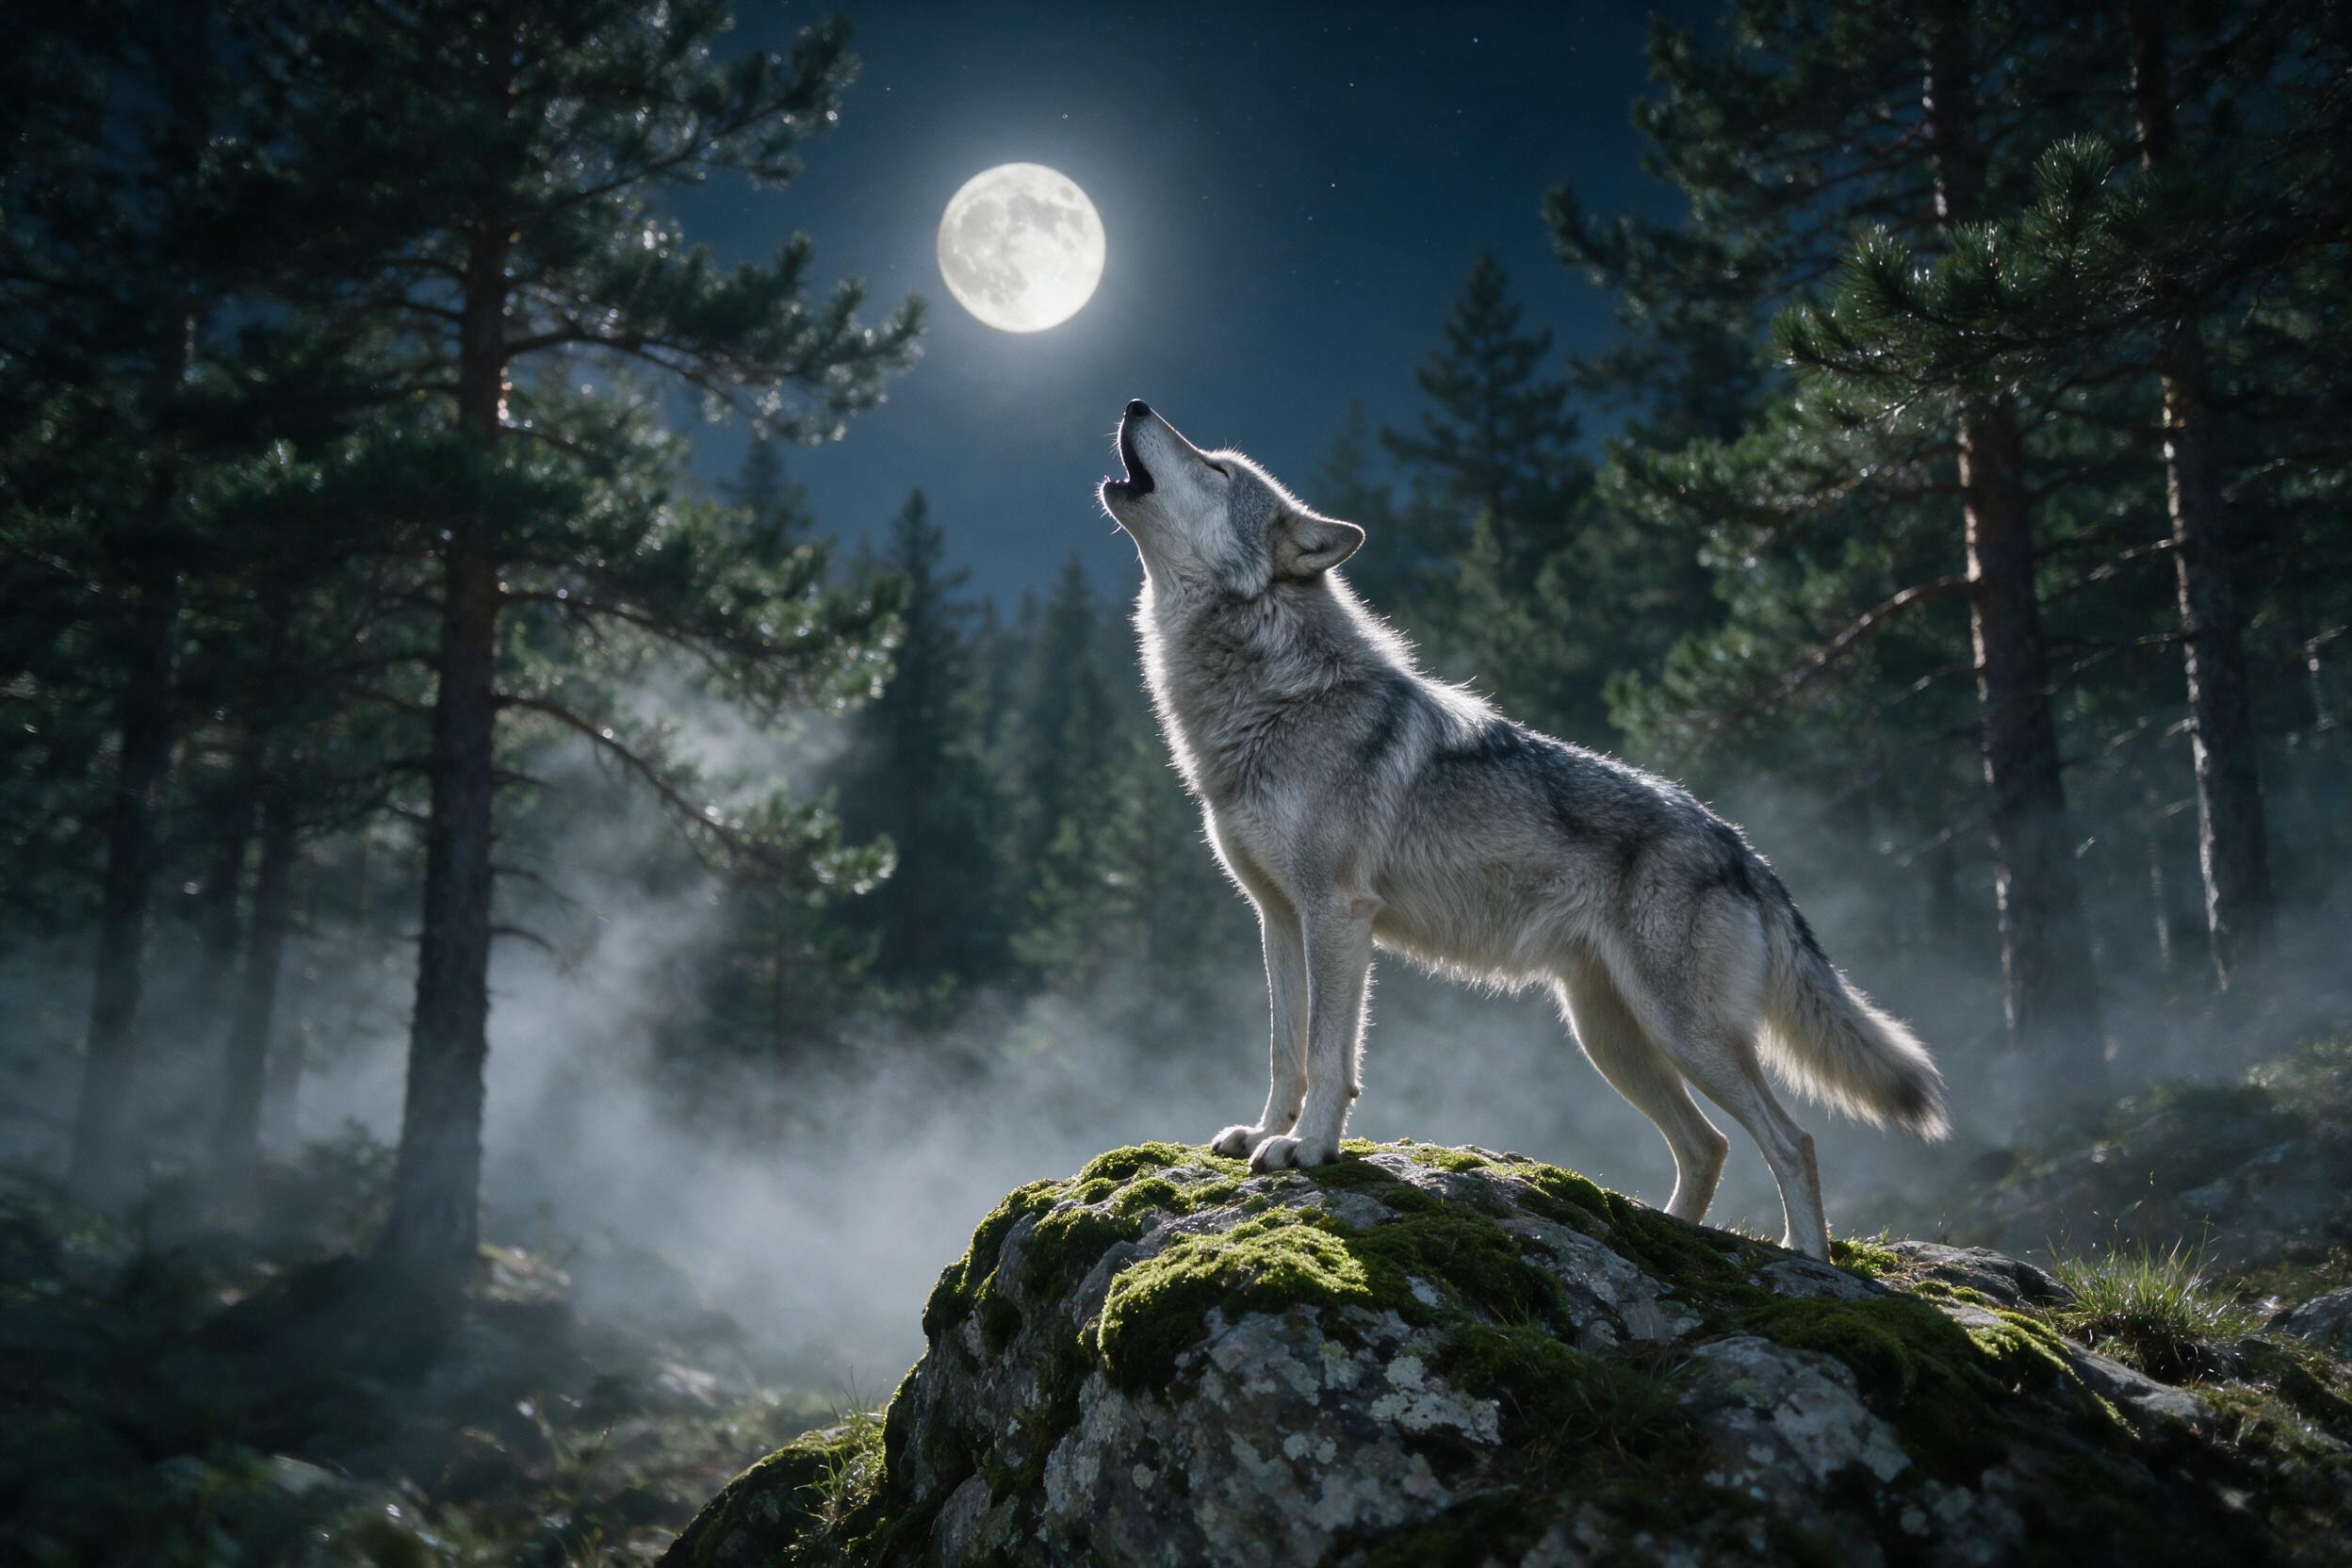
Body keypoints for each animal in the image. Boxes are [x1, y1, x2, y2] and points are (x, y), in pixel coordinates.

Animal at [1095, 399, 1949, 1260]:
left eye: (1217, 467)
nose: (1135, 404)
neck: (1272, 697)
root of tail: (1742, 848)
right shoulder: (1277, 919)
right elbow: (1283, 1053)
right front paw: (1263, 1132)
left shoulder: (1336, 915)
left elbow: (1328, 1054)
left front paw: (1309, 1149)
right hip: (1610, 1038)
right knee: (1709, 1146)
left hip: (1685, 1036)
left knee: (1790, 1141)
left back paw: (1809, 1264)